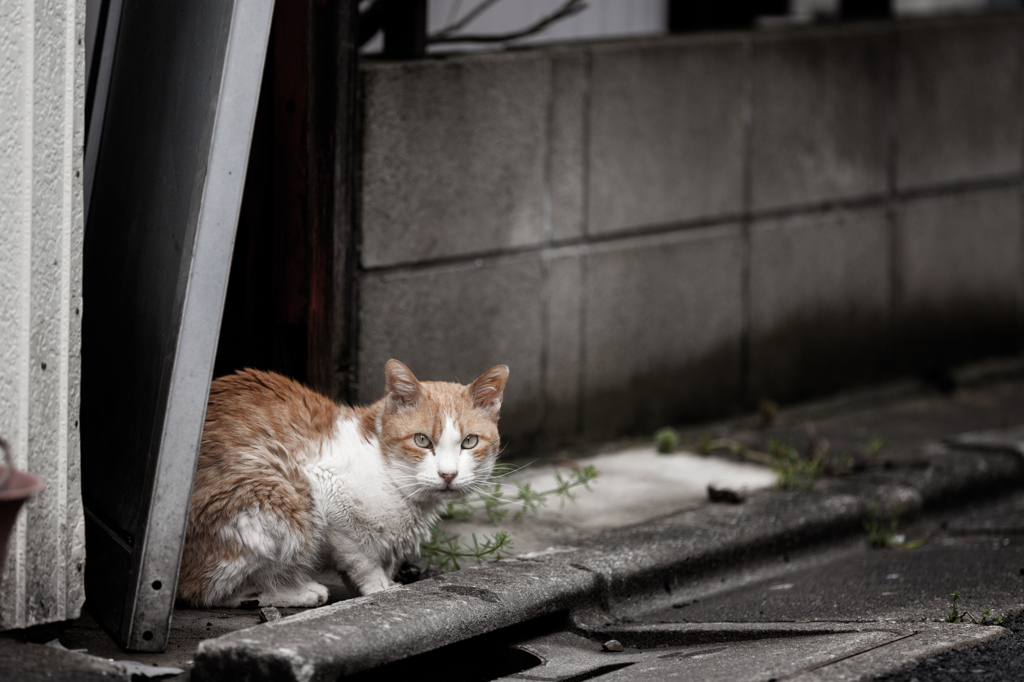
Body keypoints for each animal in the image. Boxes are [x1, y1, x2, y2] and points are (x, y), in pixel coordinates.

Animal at [181, 358, 512, 602]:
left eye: (469, 442)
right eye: (421, 440)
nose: (448, 474)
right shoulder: (326, 495)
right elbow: (360, 558)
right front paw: (378, 586)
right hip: (278, 498)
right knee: (209, 591)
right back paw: (297, 591)